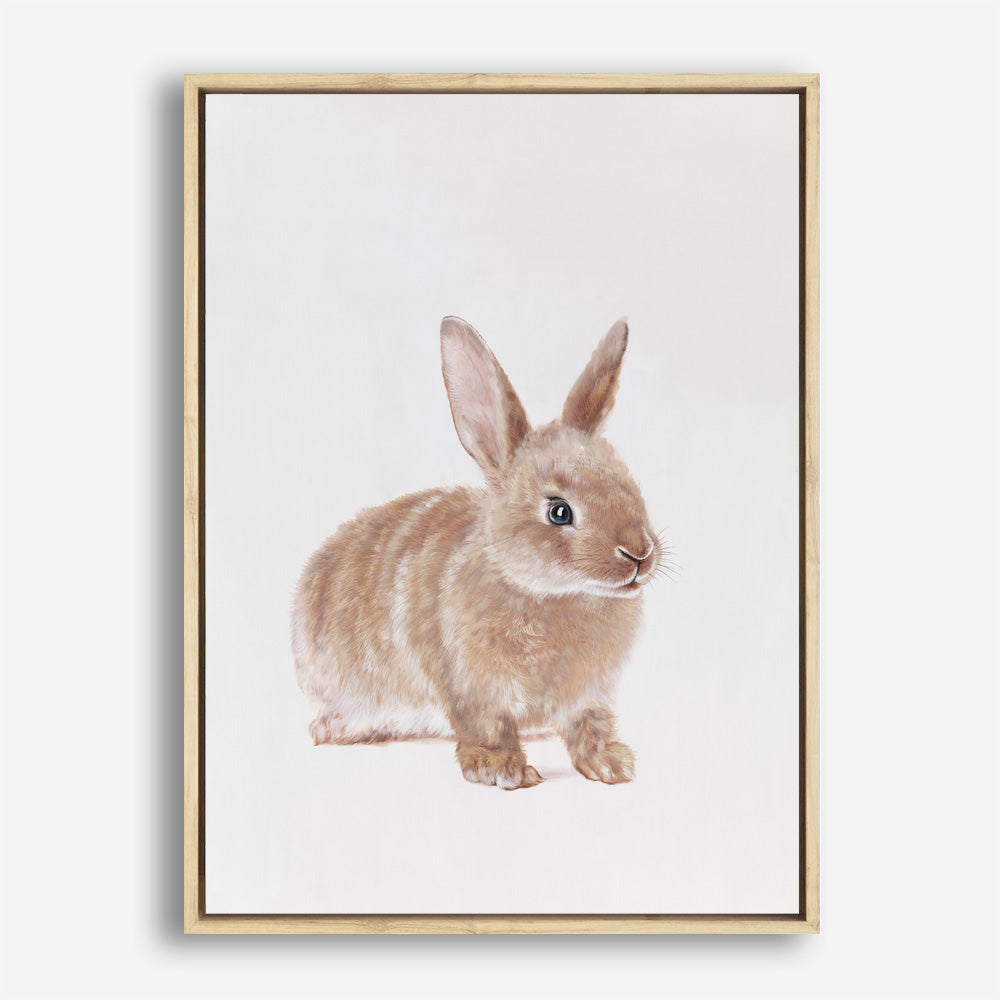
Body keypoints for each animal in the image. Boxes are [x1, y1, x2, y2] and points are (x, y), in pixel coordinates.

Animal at [292, 316, 662, 790]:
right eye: (559, 511)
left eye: (630, 485)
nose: (639, 553)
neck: (548, 592)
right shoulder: (475, 685)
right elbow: (489, 726)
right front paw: (502, 770)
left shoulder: (589, 696)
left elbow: (589, 727)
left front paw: (612, 765)